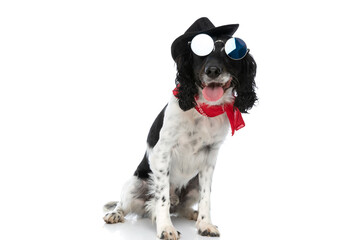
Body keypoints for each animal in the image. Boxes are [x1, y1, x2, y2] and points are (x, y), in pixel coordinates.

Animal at [102, 17, 258, 240]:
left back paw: (192, 214)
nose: (213, 70)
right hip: (134, 184)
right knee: (126, 204)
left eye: (230, 52)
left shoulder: (210, 157)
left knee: (182, 207)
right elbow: (162, 199)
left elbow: (206, 197)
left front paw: (205, 224)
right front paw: (166, 228)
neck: (204, 110)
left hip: (193, 185)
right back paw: (115, 214)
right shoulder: (162, 152)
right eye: (199, 51)